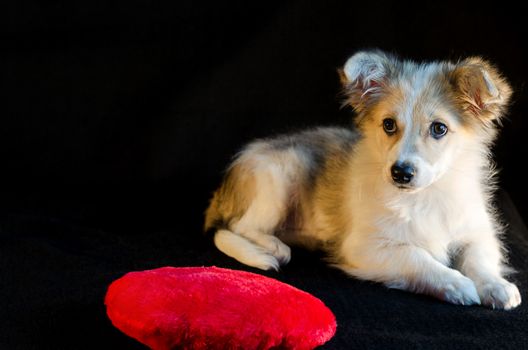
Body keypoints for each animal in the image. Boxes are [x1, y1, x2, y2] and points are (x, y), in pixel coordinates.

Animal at [204, 50, 520, 308]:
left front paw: (496, 286)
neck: (425, 196)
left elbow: (479, 260)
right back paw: (271, 247)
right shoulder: (366, 248)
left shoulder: (477, 233)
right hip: (279, 177)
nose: (400, 172)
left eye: (439, 128)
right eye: (389, 125)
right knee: (237, 226)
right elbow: (418, 258)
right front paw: (456, 283)